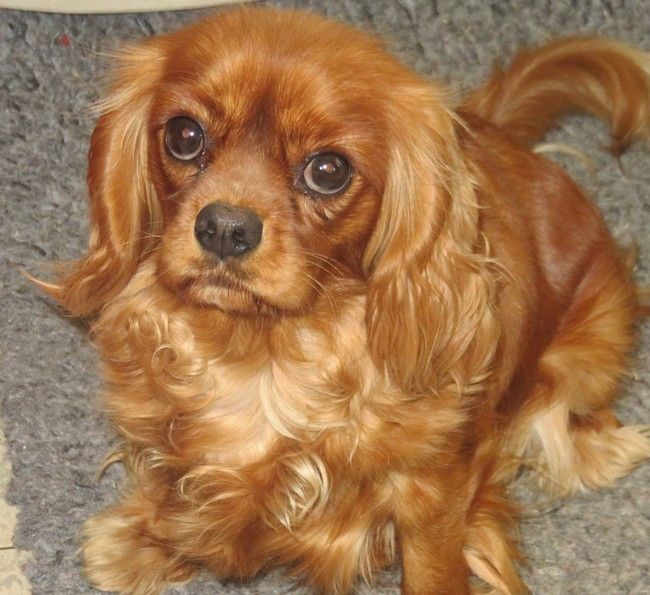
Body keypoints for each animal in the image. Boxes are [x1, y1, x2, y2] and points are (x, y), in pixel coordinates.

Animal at [36, 7, 650, 594]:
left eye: (328, 170)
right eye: (184, 136)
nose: (225, 228)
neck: (262, 353)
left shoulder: (432, 487)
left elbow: (431, 568)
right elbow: (176, 490)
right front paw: (144, 546)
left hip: (590, 354)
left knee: (571, 412)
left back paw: (607, 449)